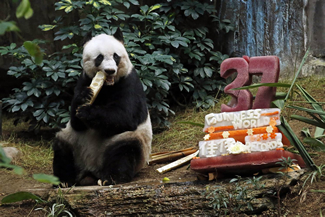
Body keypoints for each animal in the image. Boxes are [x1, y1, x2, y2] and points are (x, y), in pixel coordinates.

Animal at [52, 28, 152, 186]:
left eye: (116, 56)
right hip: (74, 142)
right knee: (62, 148)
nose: (110, 70)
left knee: (124, 150)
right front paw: (84, 97)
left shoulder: (130, 82)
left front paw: (86, 112)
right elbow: (75, 122)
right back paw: (64, 180)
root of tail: (91, 170)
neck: (107, 85)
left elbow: (126, 116)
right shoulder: (84, 79)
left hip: (126, 140)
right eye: (99, 57)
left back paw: (112, 178)